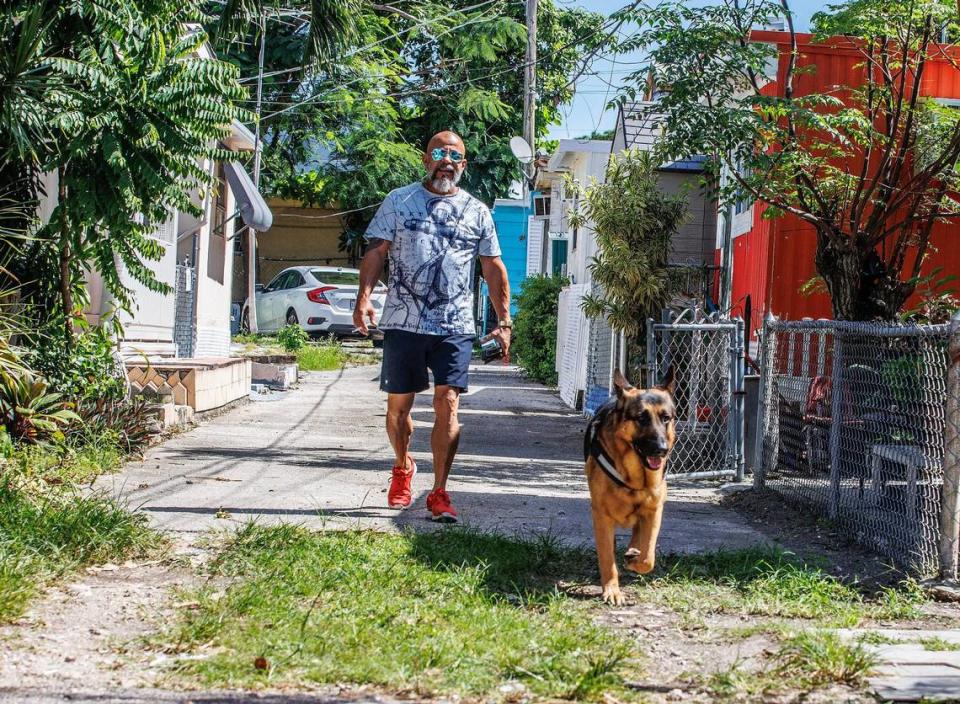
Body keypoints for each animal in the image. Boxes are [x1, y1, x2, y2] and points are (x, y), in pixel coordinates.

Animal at [584, 366, 676, 604]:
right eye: (641, 417)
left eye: (666, 418)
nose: (661, 449)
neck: (633, 479)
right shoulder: (601, 516)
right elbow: (607, 558)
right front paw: (612, 590)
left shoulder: (654, 511)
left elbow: (648, 557)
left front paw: (634, 559)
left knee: (638, 533)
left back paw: (633, 550)